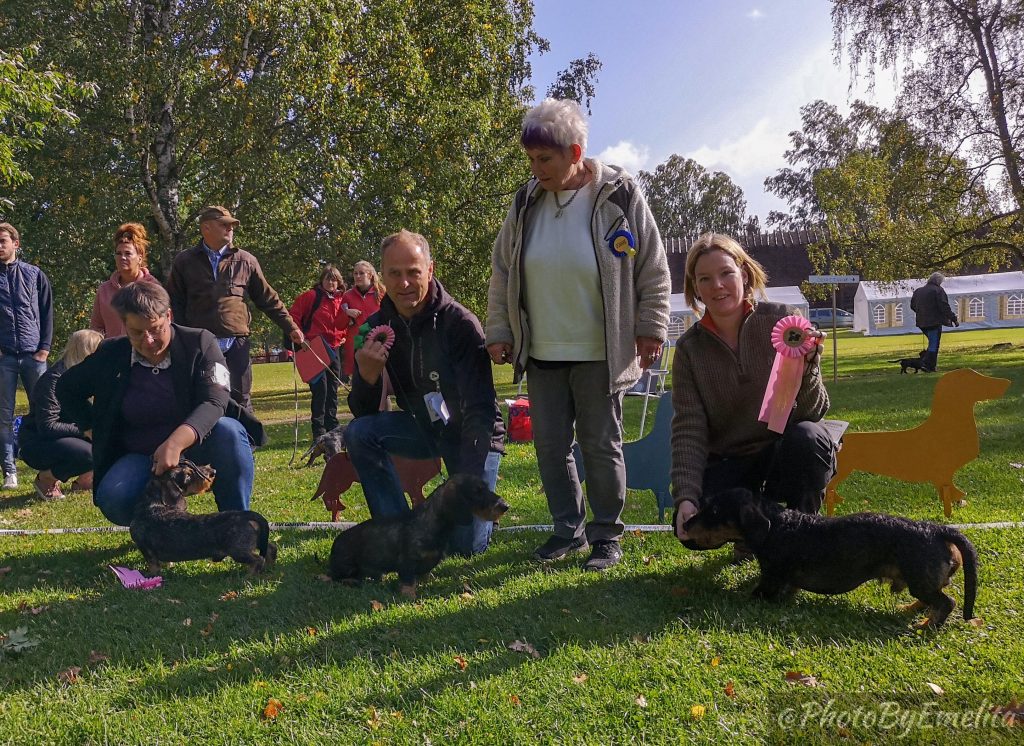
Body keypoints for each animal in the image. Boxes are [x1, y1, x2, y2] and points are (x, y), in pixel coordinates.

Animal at [130, 460, 278, 577]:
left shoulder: (146, 549)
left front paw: (151, 575)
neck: (151, 504)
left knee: (258, 559)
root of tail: (246, 515)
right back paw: (270, 567)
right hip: (256, 542)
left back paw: (249, 576)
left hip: (238, 551)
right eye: (188, 476)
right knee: (271, 548)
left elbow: (153, 565)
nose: (213, 471)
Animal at [329, 474, 509, 597]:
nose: (505, 506)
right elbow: (409, 580)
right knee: (335, 576)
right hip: (347, 565)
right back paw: (351, 580)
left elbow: (426, 574)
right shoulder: (408, 561)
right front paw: (409, 596)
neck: (432, 523)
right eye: (477, 492)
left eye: (486, 488)